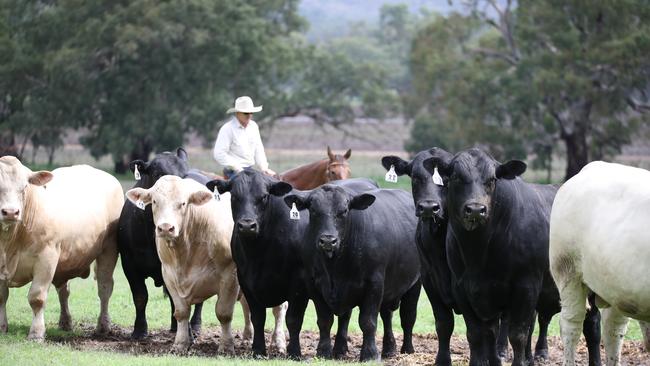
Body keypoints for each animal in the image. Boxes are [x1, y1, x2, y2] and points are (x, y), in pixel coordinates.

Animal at [0, 157, 121, 340]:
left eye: (25, 187)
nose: (10, 212)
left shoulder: (46, 259)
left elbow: (37, 297)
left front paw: (36, 333)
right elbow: (1, 297)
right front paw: (2, 327)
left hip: (109, 248)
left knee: (104, 287)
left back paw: (103, 325)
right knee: (64, 291)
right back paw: (65, 322)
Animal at [125, 176, 239, 354]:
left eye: (183, 203)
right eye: (155, 201)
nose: (166, 228)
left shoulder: (229, 275)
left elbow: (224, 313)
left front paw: (226, 346)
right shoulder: (169, 275)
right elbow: (180, 312)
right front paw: (180, 344)